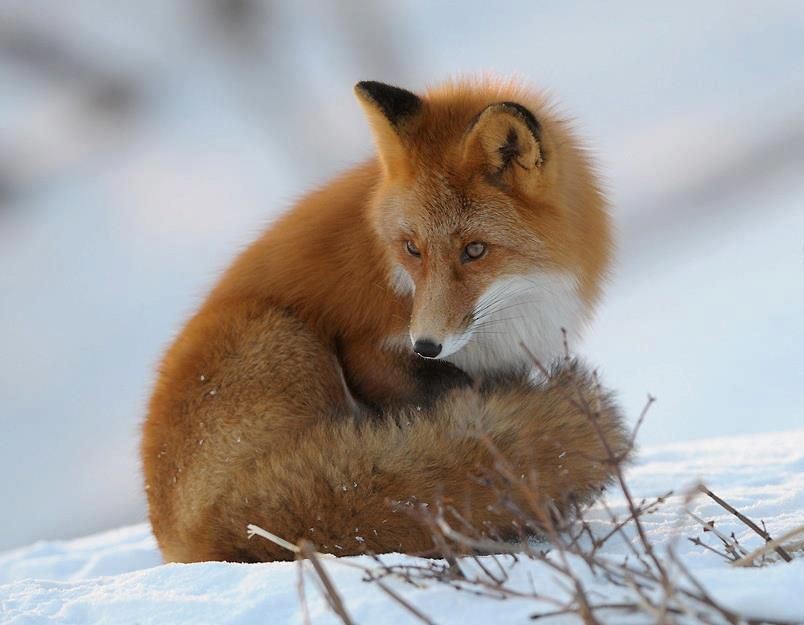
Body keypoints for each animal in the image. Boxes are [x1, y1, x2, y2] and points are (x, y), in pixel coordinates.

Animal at [140, 77, 628, 560]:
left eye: (474, 250)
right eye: (412, 248)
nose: (426, 346)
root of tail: (194, 533)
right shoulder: (366, 352)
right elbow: (448, 393)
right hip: (290, 340)